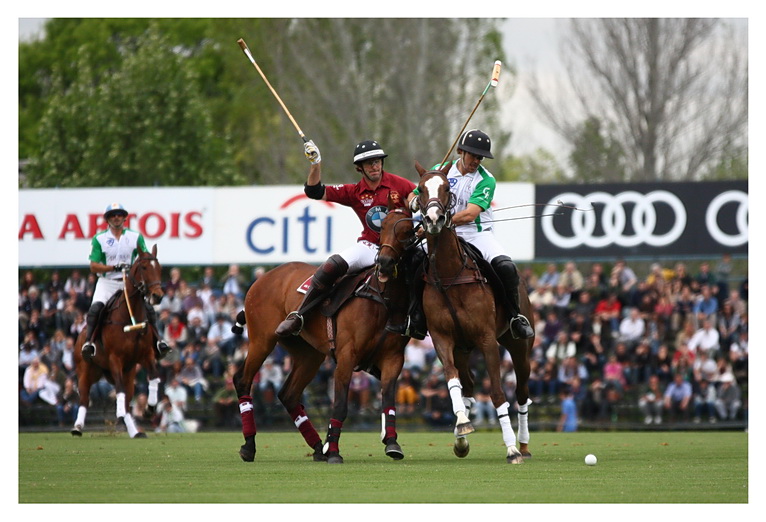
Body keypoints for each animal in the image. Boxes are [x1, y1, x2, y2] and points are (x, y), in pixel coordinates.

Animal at [71, 245, 165, 438]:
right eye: (144, 267)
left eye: (159, 268)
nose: (157, 296)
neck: (130, 317)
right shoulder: (115, 358)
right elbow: (119, 389)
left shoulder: (146, 355)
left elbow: (153, 376)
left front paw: (150, 408)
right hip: (85, 370)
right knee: (84, 398)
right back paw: (77, 427)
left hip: (127, 372)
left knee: (128, 399)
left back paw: (135, 432)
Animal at [233, 195, 414, 464]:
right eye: (382, 228)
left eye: (407, 231)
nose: (384, 262)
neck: (381, 297)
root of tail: (262, 278)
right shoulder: (347, 355)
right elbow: (340, 404)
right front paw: (335, 452)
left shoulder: (393, 358)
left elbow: (388, 400)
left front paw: (392, 443)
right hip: (262, 339)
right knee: (243, 380)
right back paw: (249, 446)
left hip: (309, 353)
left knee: (289, 394)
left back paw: (319, 447)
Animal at [378, 163, 534, 463]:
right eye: (421, 188)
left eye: (446, 189)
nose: (433, 219)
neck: (450, 274)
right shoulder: (442, 338)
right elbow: (452, 381)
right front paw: (461, 425)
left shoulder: (487, 339)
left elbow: (497, 392)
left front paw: (510, 449)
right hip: (463, 347)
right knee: (470, 385)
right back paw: (462, 438)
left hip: (518, 345)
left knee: (521, 392)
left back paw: (522, 445)